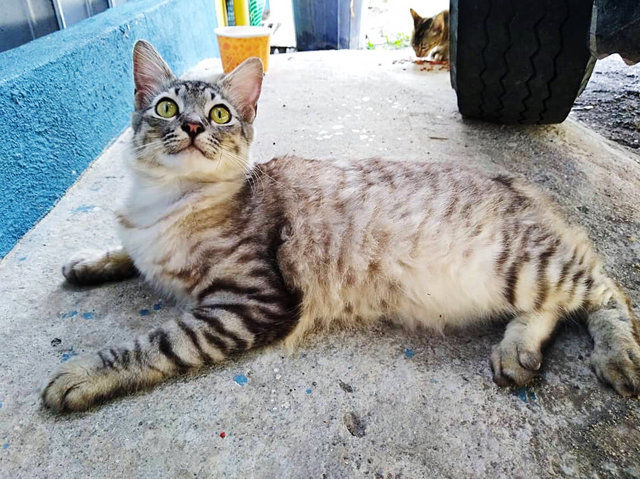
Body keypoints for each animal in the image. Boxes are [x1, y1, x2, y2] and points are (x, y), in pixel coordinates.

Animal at [41, 40, 640, 412]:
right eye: (166, 107)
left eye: (218, 115)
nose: (190, 126)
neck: (166, 200)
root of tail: (512, 181)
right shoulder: (149, 240)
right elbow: (126, 249)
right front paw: (91, 260)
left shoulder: (252, 302)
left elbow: (158, 343)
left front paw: (83, 373)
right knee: (552, 306)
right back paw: (518, 351)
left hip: (522, 262)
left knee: (605, 290)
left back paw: (617, 354)